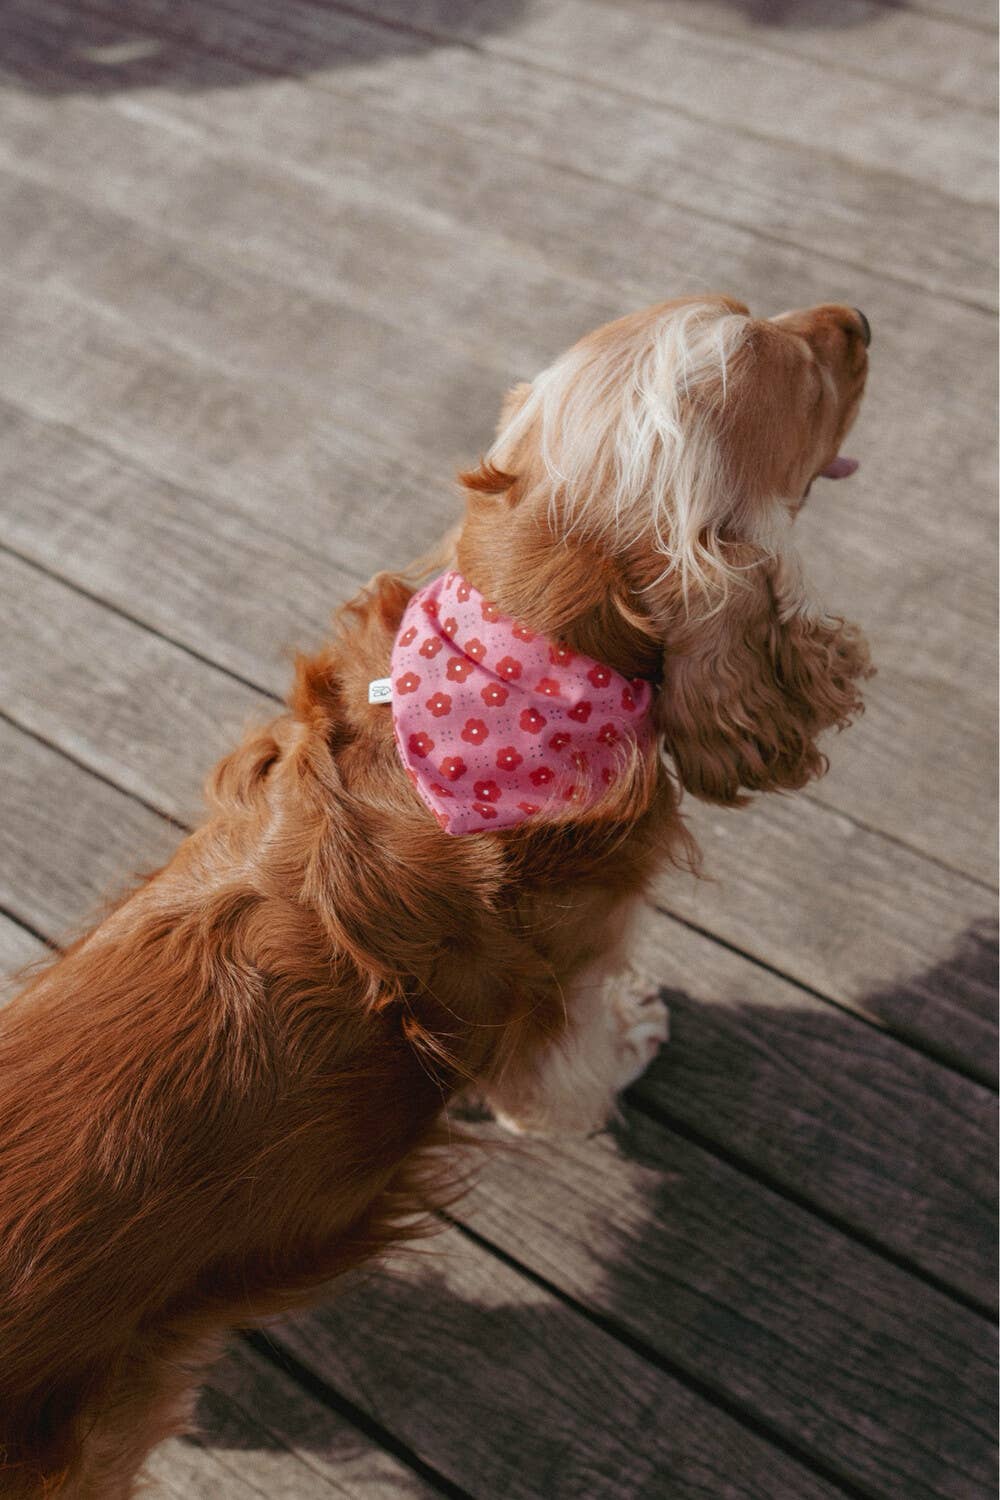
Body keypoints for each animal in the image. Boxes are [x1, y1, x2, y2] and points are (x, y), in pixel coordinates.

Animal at [0, 292, 869, 1488]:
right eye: (777, 359)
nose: (857, 320)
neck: (518, 650)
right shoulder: (557, 994)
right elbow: (569, 1080)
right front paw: (636, 1036)